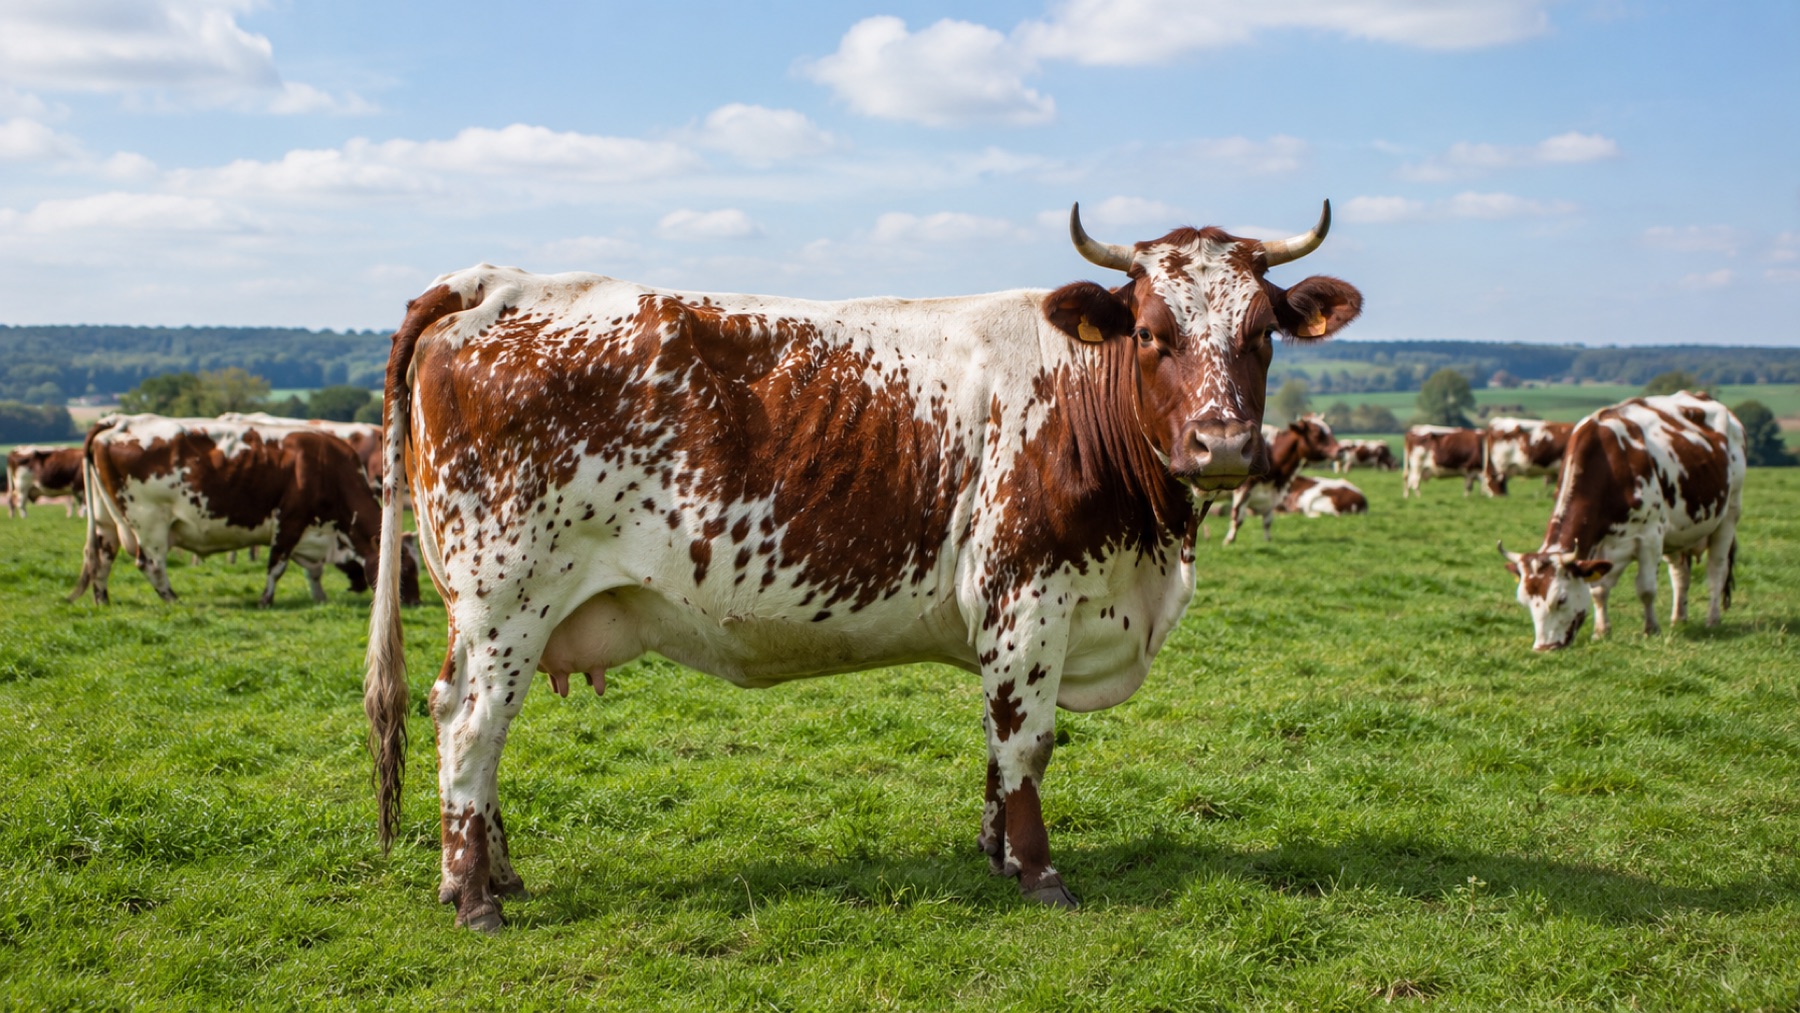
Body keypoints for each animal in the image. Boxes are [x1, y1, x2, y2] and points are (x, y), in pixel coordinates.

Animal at [69, 414, 419, 608]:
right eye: (405, 569)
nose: (415, 602)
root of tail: (118, 421)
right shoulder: (290, 520)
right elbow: (276, 565)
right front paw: (265, 601)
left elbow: (313, 572)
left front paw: (320, 598)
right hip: (150, 521)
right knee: (151, 564)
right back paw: (173, 600)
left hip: (106, 520)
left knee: (102, 556)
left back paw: (102, 599)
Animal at [1220, 415, 1341, 543]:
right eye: (1316, 433)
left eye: (1329, 430)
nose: (1340, 450)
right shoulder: (1243, 490)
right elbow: (1237, 516)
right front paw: (1229, 540)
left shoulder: (1271, 496)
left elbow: (1267, 521)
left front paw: (1268, 540)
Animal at [1498, 392, 1743, 651]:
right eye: (1524, 601)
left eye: (1561, 599)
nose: (1544, 648)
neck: (1611, 462)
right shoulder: (1599, 546)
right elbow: (1598, 591)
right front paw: (1601, 631)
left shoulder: (1651, 537)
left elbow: (1646, 589)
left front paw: (1651, 629)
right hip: (1679, 532)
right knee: (1680, 574)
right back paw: (1678, 619)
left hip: (1729, 515)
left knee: (1716, 569)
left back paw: (1712, 619)